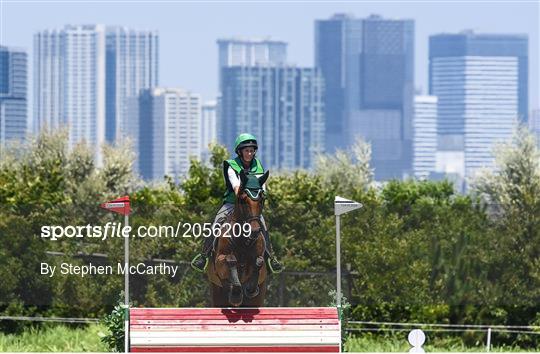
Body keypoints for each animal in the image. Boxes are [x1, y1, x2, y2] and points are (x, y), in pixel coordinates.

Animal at [209, 169, 272, 306]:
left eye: (262, 200)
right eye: (243, 200)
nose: (254, 231)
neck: (243, 240)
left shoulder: (259, 261)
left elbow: (259, 262)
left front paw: (250, 289)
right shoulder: (220, 261)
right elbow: (230, 259)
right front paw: (236, 292)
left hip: (258, 299)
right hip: (217, 293)